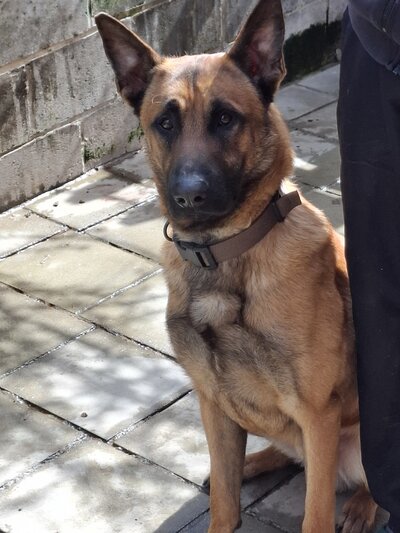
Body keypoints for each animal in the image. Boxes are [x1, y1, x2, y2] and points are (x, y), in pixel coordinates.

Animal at [96, 1, 378, 531]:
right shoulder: (213, 403)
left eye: (225, 119)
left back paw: (362, 505)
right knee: (288, 456)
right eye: (165, 123)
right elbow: (225, 505)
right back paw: (253, 463)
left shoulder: (318, 414)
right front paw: (228, 485)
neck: (222, 254)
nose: (189, 196)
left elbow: (314, 512)